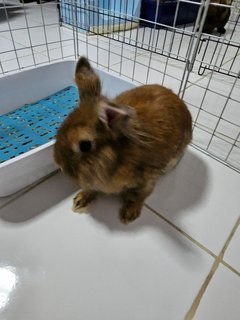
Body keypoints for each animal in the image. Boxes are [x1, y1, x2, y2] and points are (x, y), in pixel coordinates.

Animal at [53, 57, 192, 222]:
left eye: (85, 145)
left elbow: (141, 195)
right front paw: (80, 200)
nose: (60, 165)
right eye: (60, 129)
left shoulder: (148, 180)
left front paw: (128, 214)